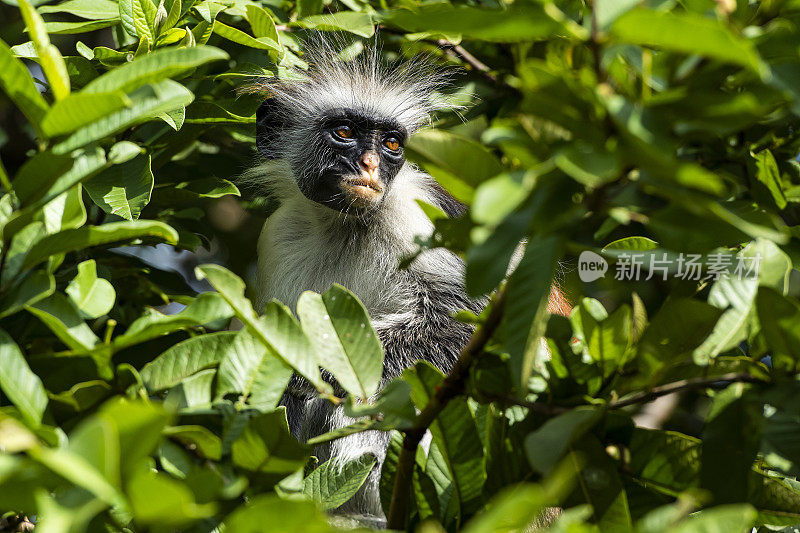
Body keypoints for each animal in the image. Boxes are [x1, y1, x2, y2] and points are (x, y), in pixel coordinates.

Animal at [245, 43, 568, 524]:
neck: (346, 225)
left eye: (391, 143)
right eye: (344, 131)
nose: (371, 164)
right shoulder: (278, 237)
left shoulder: (416, 215)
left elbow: (470, 332)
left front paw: (313, 368)